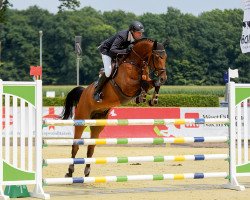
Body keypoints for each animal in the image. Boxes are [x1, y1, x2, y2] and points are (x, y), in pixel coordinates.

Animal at [61, 37, 167, 177]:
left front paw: (152, 99)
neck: (135, 62)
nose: (164, 77)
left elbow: (152, 82)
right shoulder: (127, 86)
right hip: (82, 119)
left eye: (165, 57)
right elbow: (143, 83)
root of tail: (84, 91)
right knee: (75, 146)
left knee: (91, 147)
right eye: (157, 57)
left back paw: (87, 171)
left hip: (98, 124)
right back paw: (69, 171)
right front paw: (143, 96)